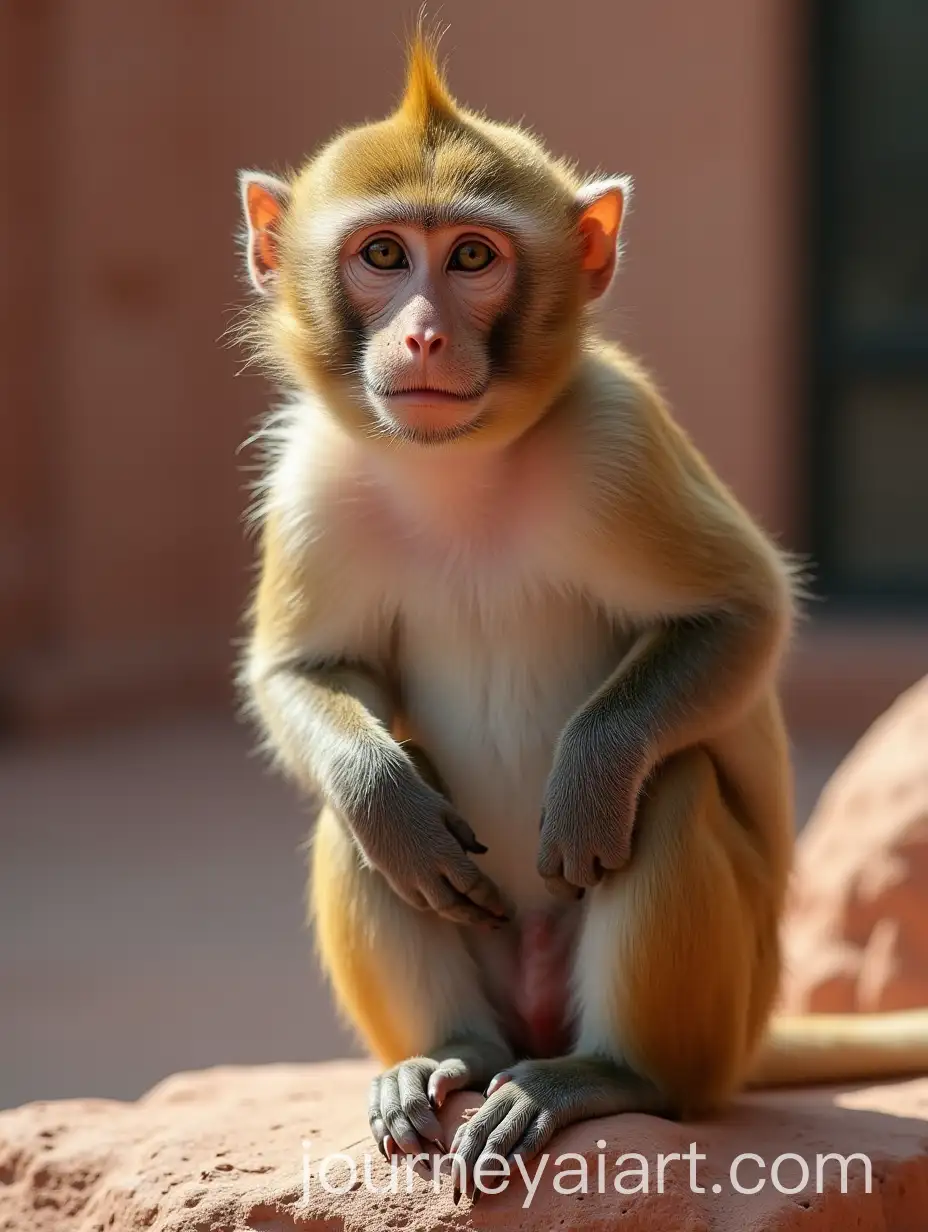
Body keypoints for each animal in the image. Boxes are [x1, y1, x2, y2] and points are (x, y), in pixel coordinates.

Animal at [236, 29, 928, 1196]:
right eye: (384, 256)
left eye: (472, 258)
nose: (422, 338)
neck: (459, 472)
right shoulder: (312, 478)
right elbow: (307, 674)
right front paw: (388, 797)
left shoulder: (619, 437)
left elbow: (741, 613)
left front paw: (589, 779)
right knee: (361, 833)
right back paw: (449, 1050)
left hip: (718, 1014)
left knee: (675, 786)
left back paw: (604, 1074)